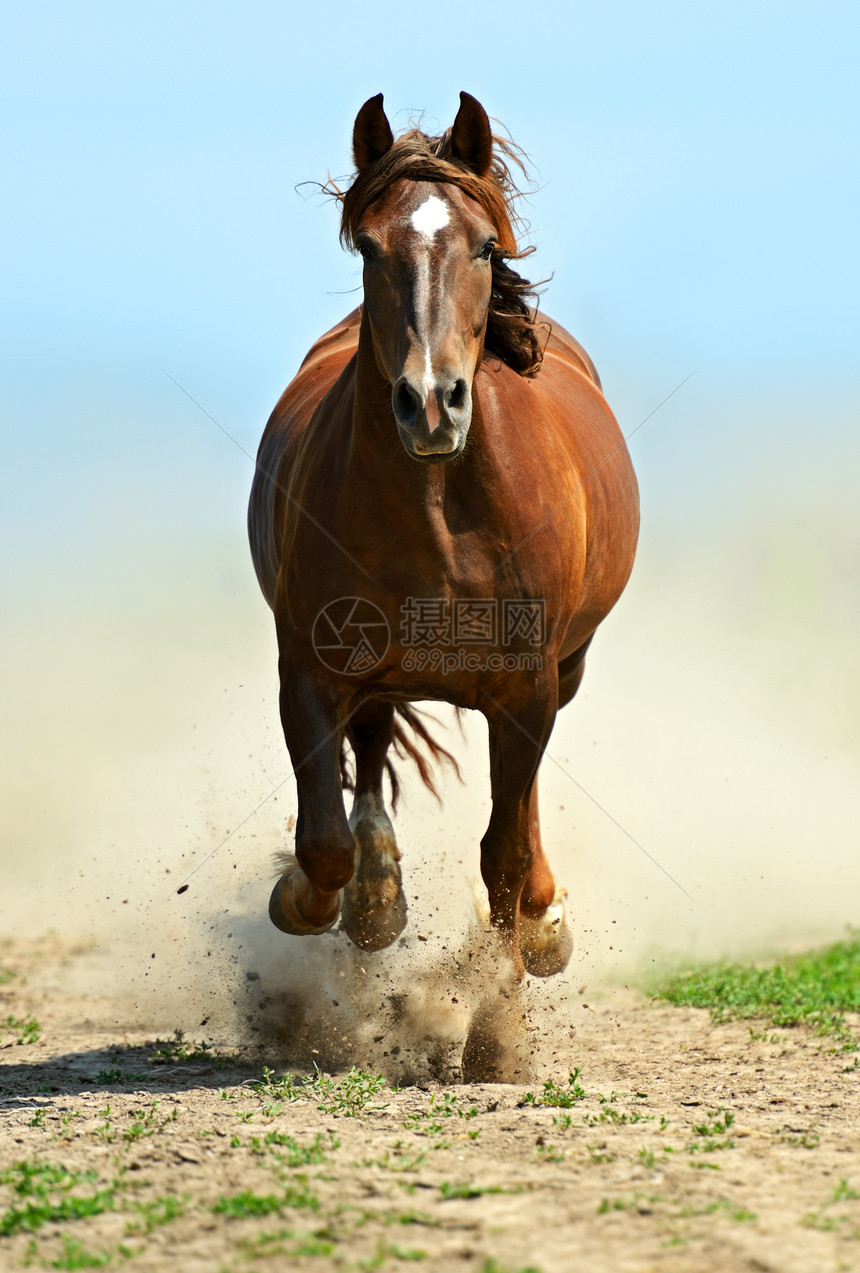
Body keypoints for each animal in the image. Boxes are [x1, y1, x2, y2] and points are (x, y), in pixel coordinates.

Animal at [248, 87, 638, 1003]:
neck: (436, 514)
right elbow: (324, 841)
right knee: (371, 746)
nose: (431, 403)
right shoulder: (309, 665)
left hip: (558, 674)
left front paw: (501, 1006)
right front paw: (324, 898)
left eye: (486, 246)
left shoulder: (528, 687)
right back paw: (377, 896)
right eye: (369, 246)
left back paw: (543, 916)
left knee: (518, 809)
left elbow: (504, 853)